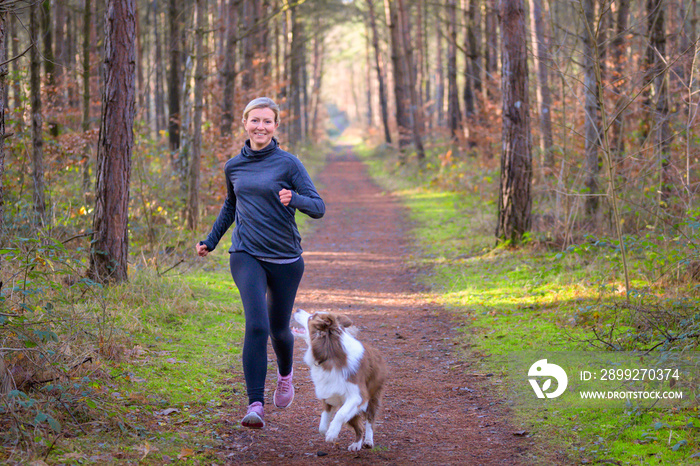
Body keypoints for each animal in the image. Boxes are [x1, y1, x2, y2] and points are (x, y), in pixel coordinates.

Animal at [292, 310, 388, 452]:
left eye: (311, 317)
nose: (297, 310)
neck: (329, 353)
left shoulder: (358, 396)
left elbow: (340, 414)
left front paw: (332, 433)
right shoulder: (328, 394)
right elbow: (323, 423)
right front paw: (327, 430)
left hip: (372, 396)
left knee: (369, 420)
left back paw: (368, 441)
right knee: (359, 427)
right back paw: (356, 444)